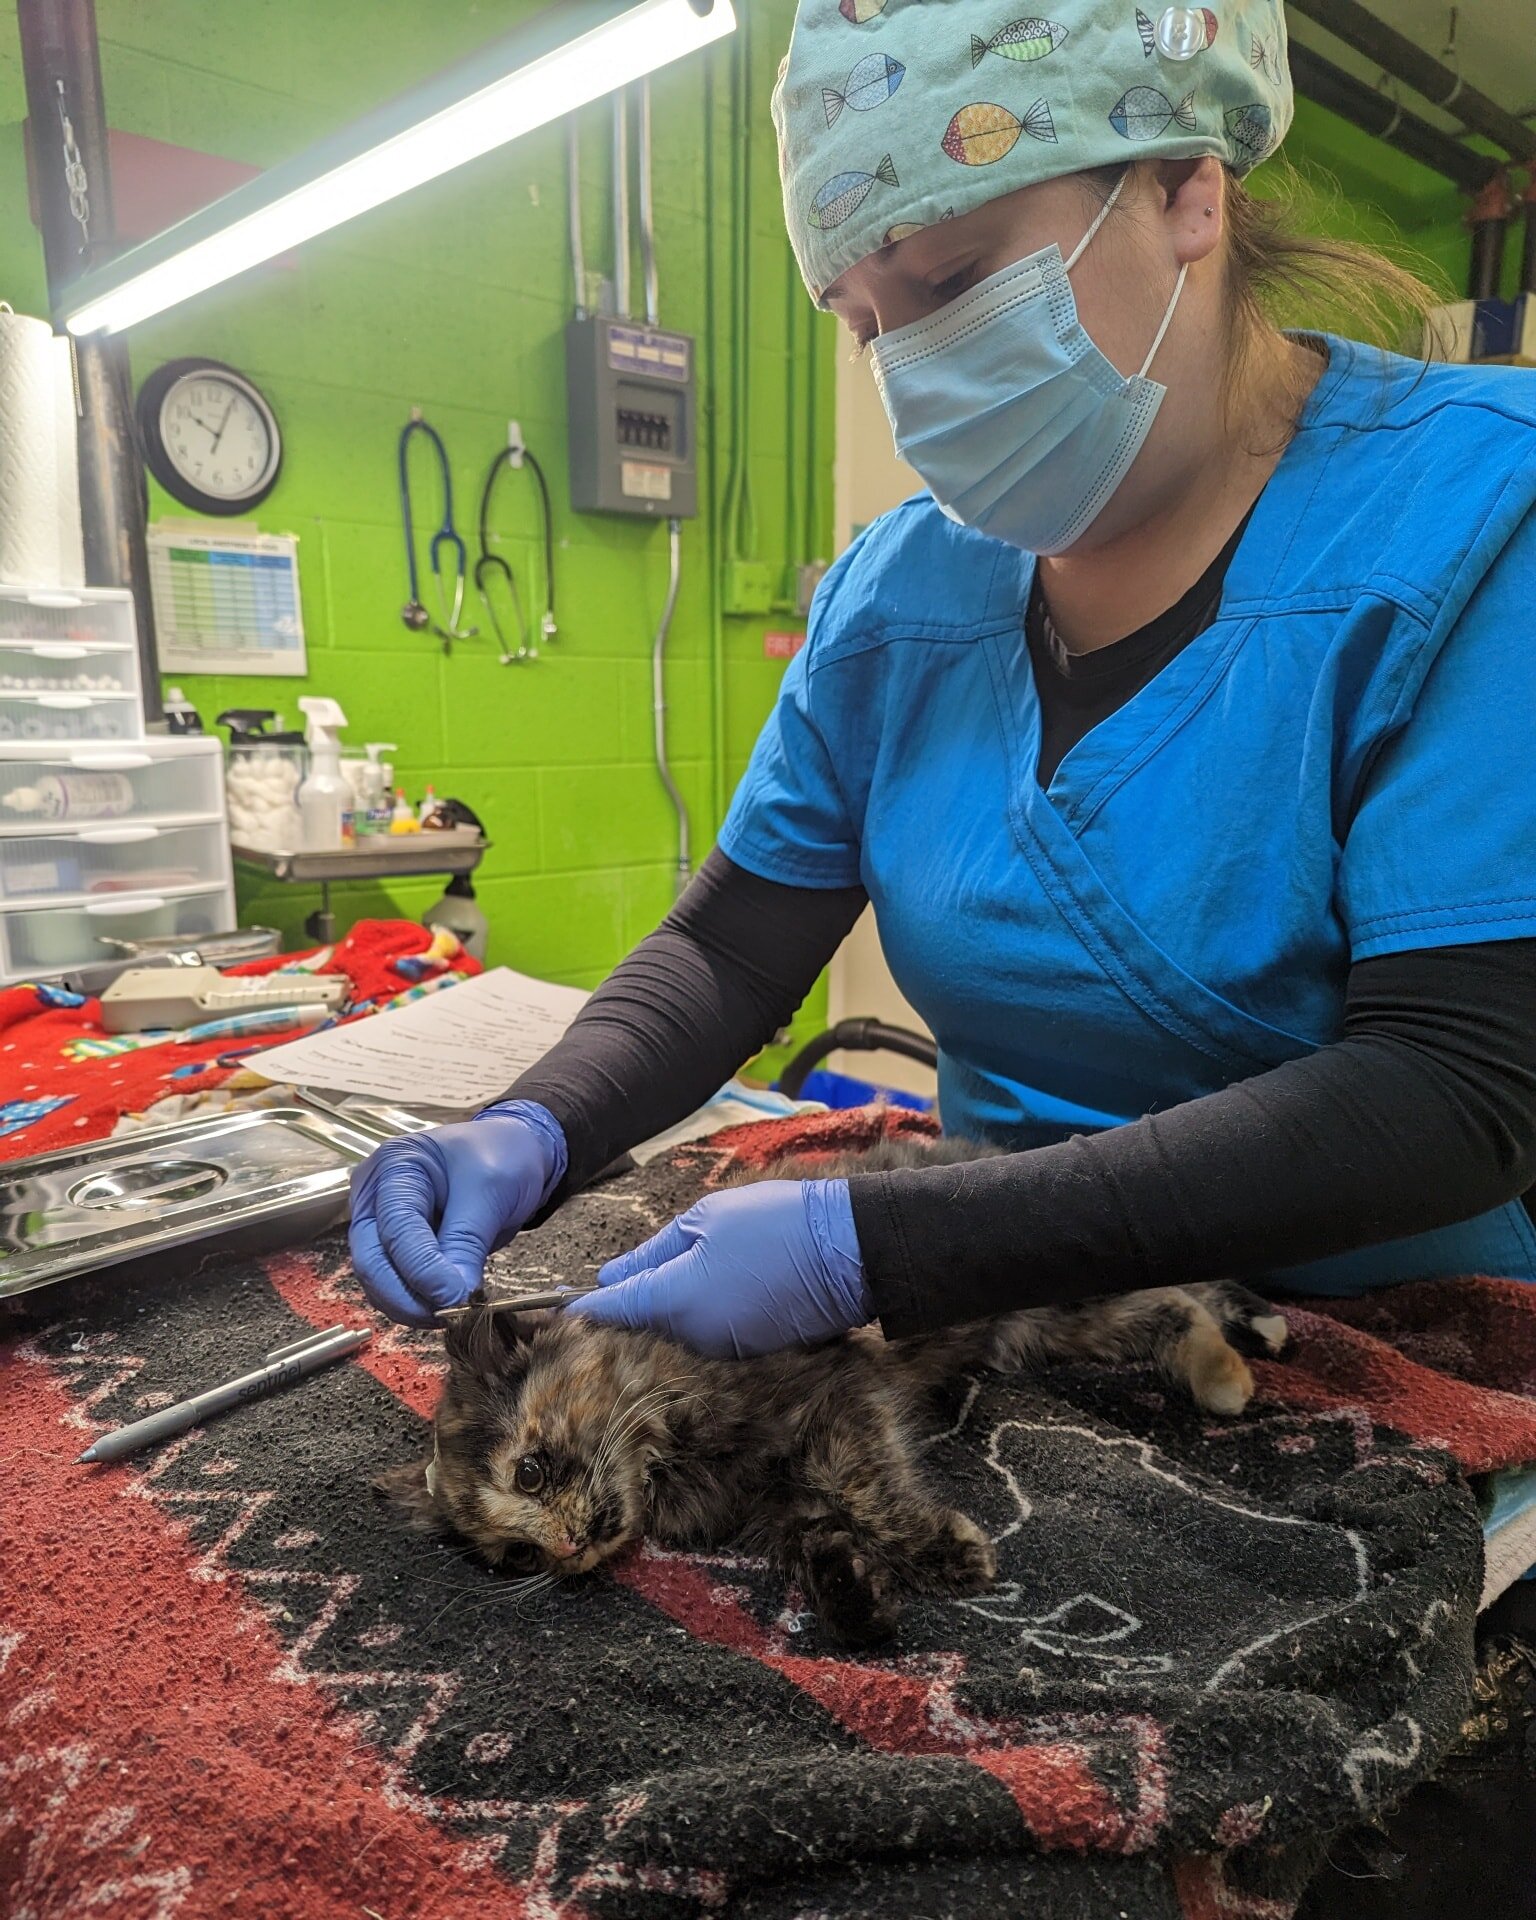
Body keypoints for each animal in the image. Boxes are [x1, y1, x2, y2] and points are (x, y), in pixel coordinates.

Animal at [380, 1136, 1282, 1651]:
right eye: (515, 1557)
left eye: (530, 1473)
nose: (567, 1550)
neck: (666, 1449)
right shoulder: (784, 1489)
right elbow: (818, 1533)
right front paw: (855, 1599)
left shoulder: (842, 1403)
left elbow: (873, 1493)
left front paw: (942, 1553)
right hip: (1046, 1326)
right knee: (1170, 1303)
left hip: (1053, 1283)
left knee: (1184, 1295)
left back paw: (1232, 1371)